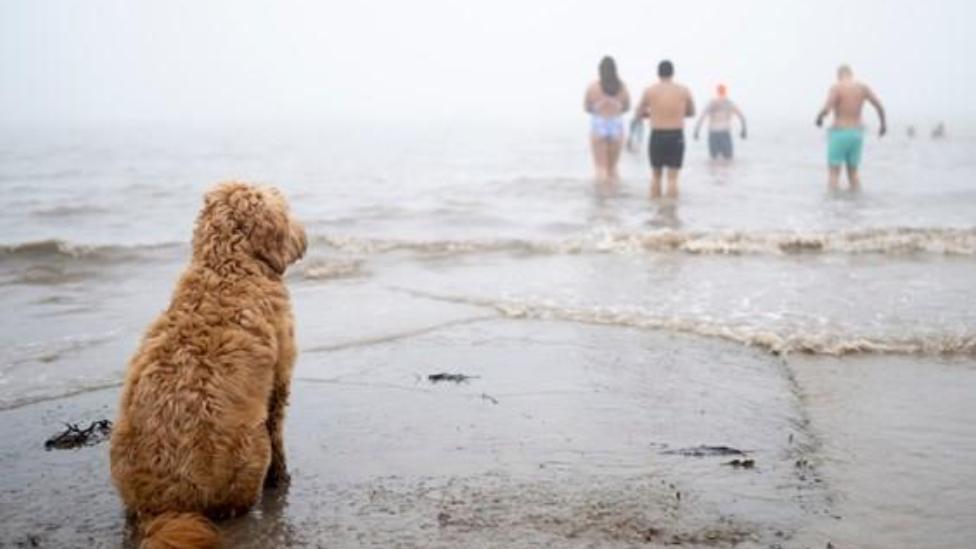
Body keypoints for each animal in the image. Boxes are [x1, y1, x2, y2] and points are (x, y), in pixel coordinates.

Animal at [107, 182, 306, 544]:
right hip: (252, 448)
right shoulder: (282, 372)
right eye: (286, 209)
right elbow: (278, 428)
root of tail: (165, 508)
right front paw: (281, 478)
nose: (305, 235)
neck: (227, 263)